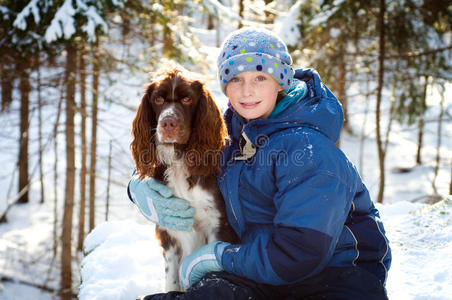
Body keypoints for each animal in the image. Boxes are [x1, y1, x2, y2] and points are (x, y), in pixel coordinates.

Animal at [130, 68, 238, 290]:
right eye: (158, 99)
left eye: (188, 99)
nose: (167, 123)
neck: (179, 159)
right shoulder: (169, 231)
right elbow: (171, 276)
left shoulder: (218, 223)